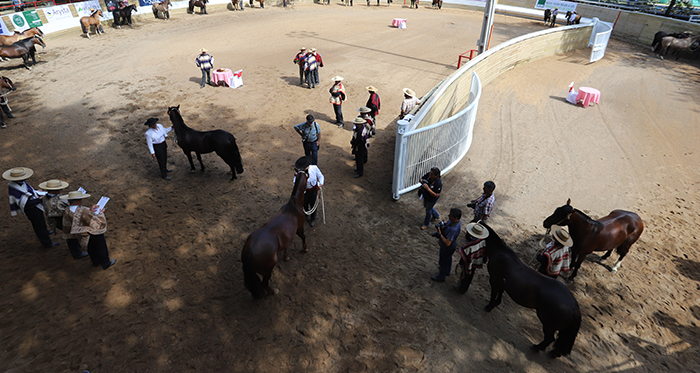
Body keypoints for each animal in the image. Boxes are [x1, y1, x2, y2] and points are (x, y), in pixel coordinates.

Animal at [241, 164, 308, 298]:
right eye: (308, 176)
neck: (293, 206)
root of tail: (248, 253)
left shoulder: (287, 236)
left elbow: (286, 247)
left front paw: (286, 257)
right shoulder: (299, 228)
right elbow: (303, 236)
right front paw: (305, 248)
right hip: (267, 270)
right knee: (264, 284)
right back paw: (273, 291)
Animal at [482, 224, 580, 358]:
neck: (500, 252)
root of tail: (573, 306)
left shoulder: (494, 280)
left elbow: (493, 294)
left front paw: (489, 307)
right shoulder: (502, 283)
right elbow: (500, 294)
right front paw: (496, 304)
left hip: (548, 325)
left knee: (550, 339)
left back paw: (536, 347)